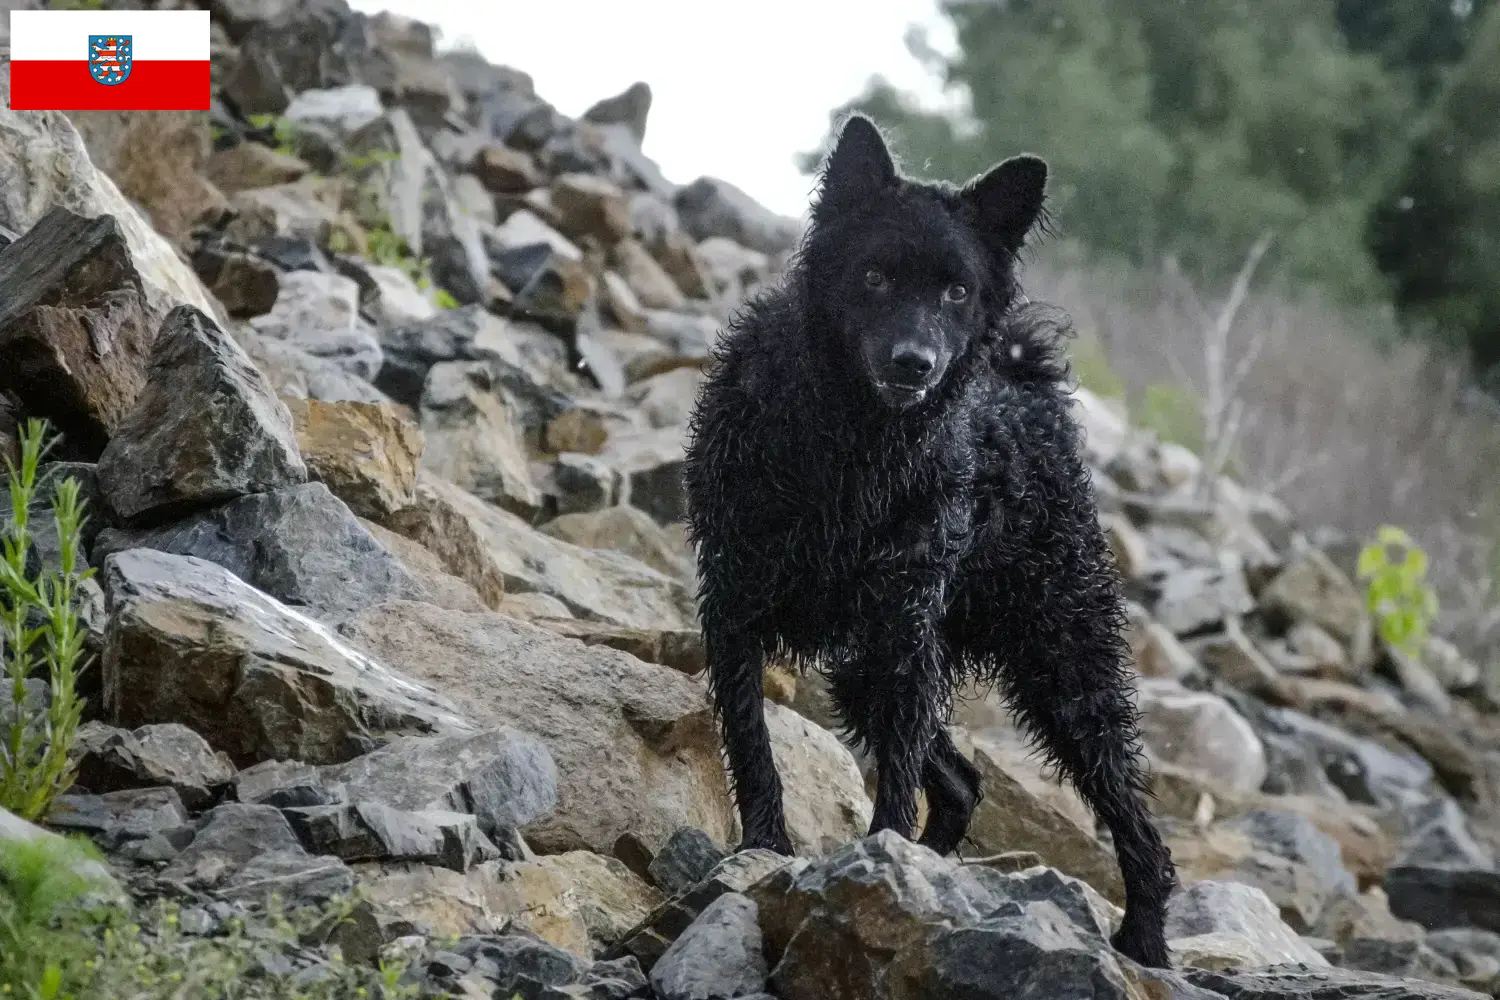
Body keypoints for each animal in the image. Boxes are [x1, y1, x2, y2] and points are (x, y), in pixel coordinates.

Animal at [682, 113, 1176, 967]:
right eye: (875, 276)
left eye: (957, 291)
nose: (916, 362)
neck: (854, 445)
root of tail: (1026, 381)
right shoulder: (736, 602)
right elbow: (752, 746)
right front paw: (767, 850)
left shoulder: (904, 625)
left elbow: (896, 780)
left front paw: (873, 868)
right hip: (866, 673)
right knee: (962, 782)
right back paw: (935, 871)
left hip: (1059, 660)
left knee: (1127, 808)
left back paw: (1143, 936)